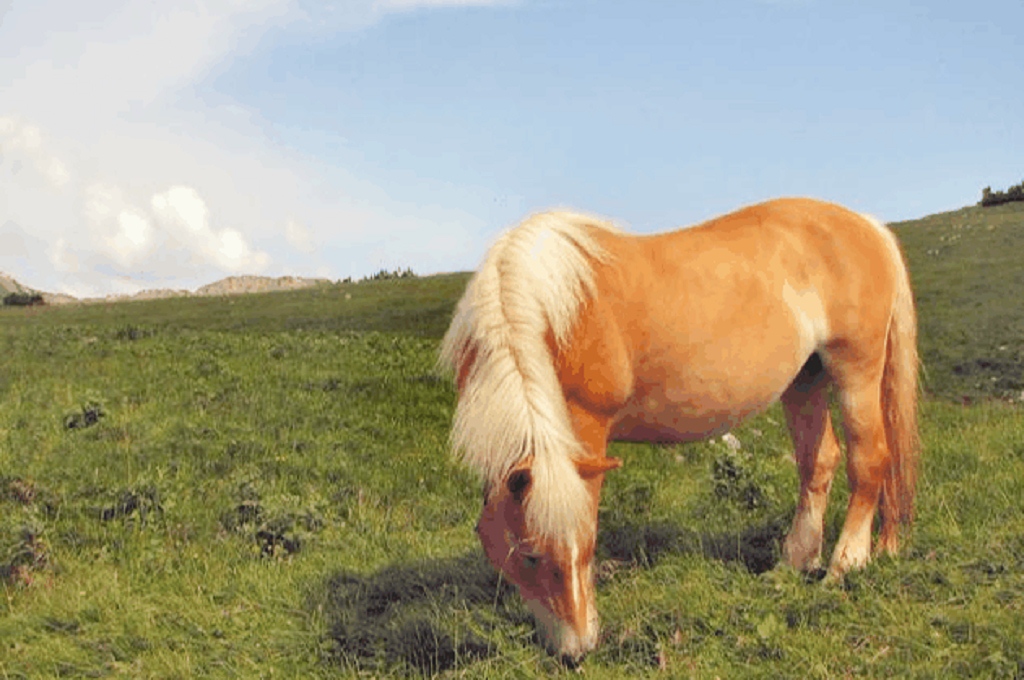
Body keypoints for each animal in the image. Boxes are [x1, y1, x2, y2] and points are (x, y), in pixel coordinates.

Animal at [438, 197, 919, 663]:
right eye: (531, 555)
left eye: (588, 545)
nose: (578, 651)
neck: (543, 311)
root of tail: (867, 225)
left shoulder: (585, 427)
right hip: (806, 380)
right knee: (819, 463)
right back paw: (795, 562)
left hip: (856, 370)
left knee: (869, 460)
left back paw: (845, 564)